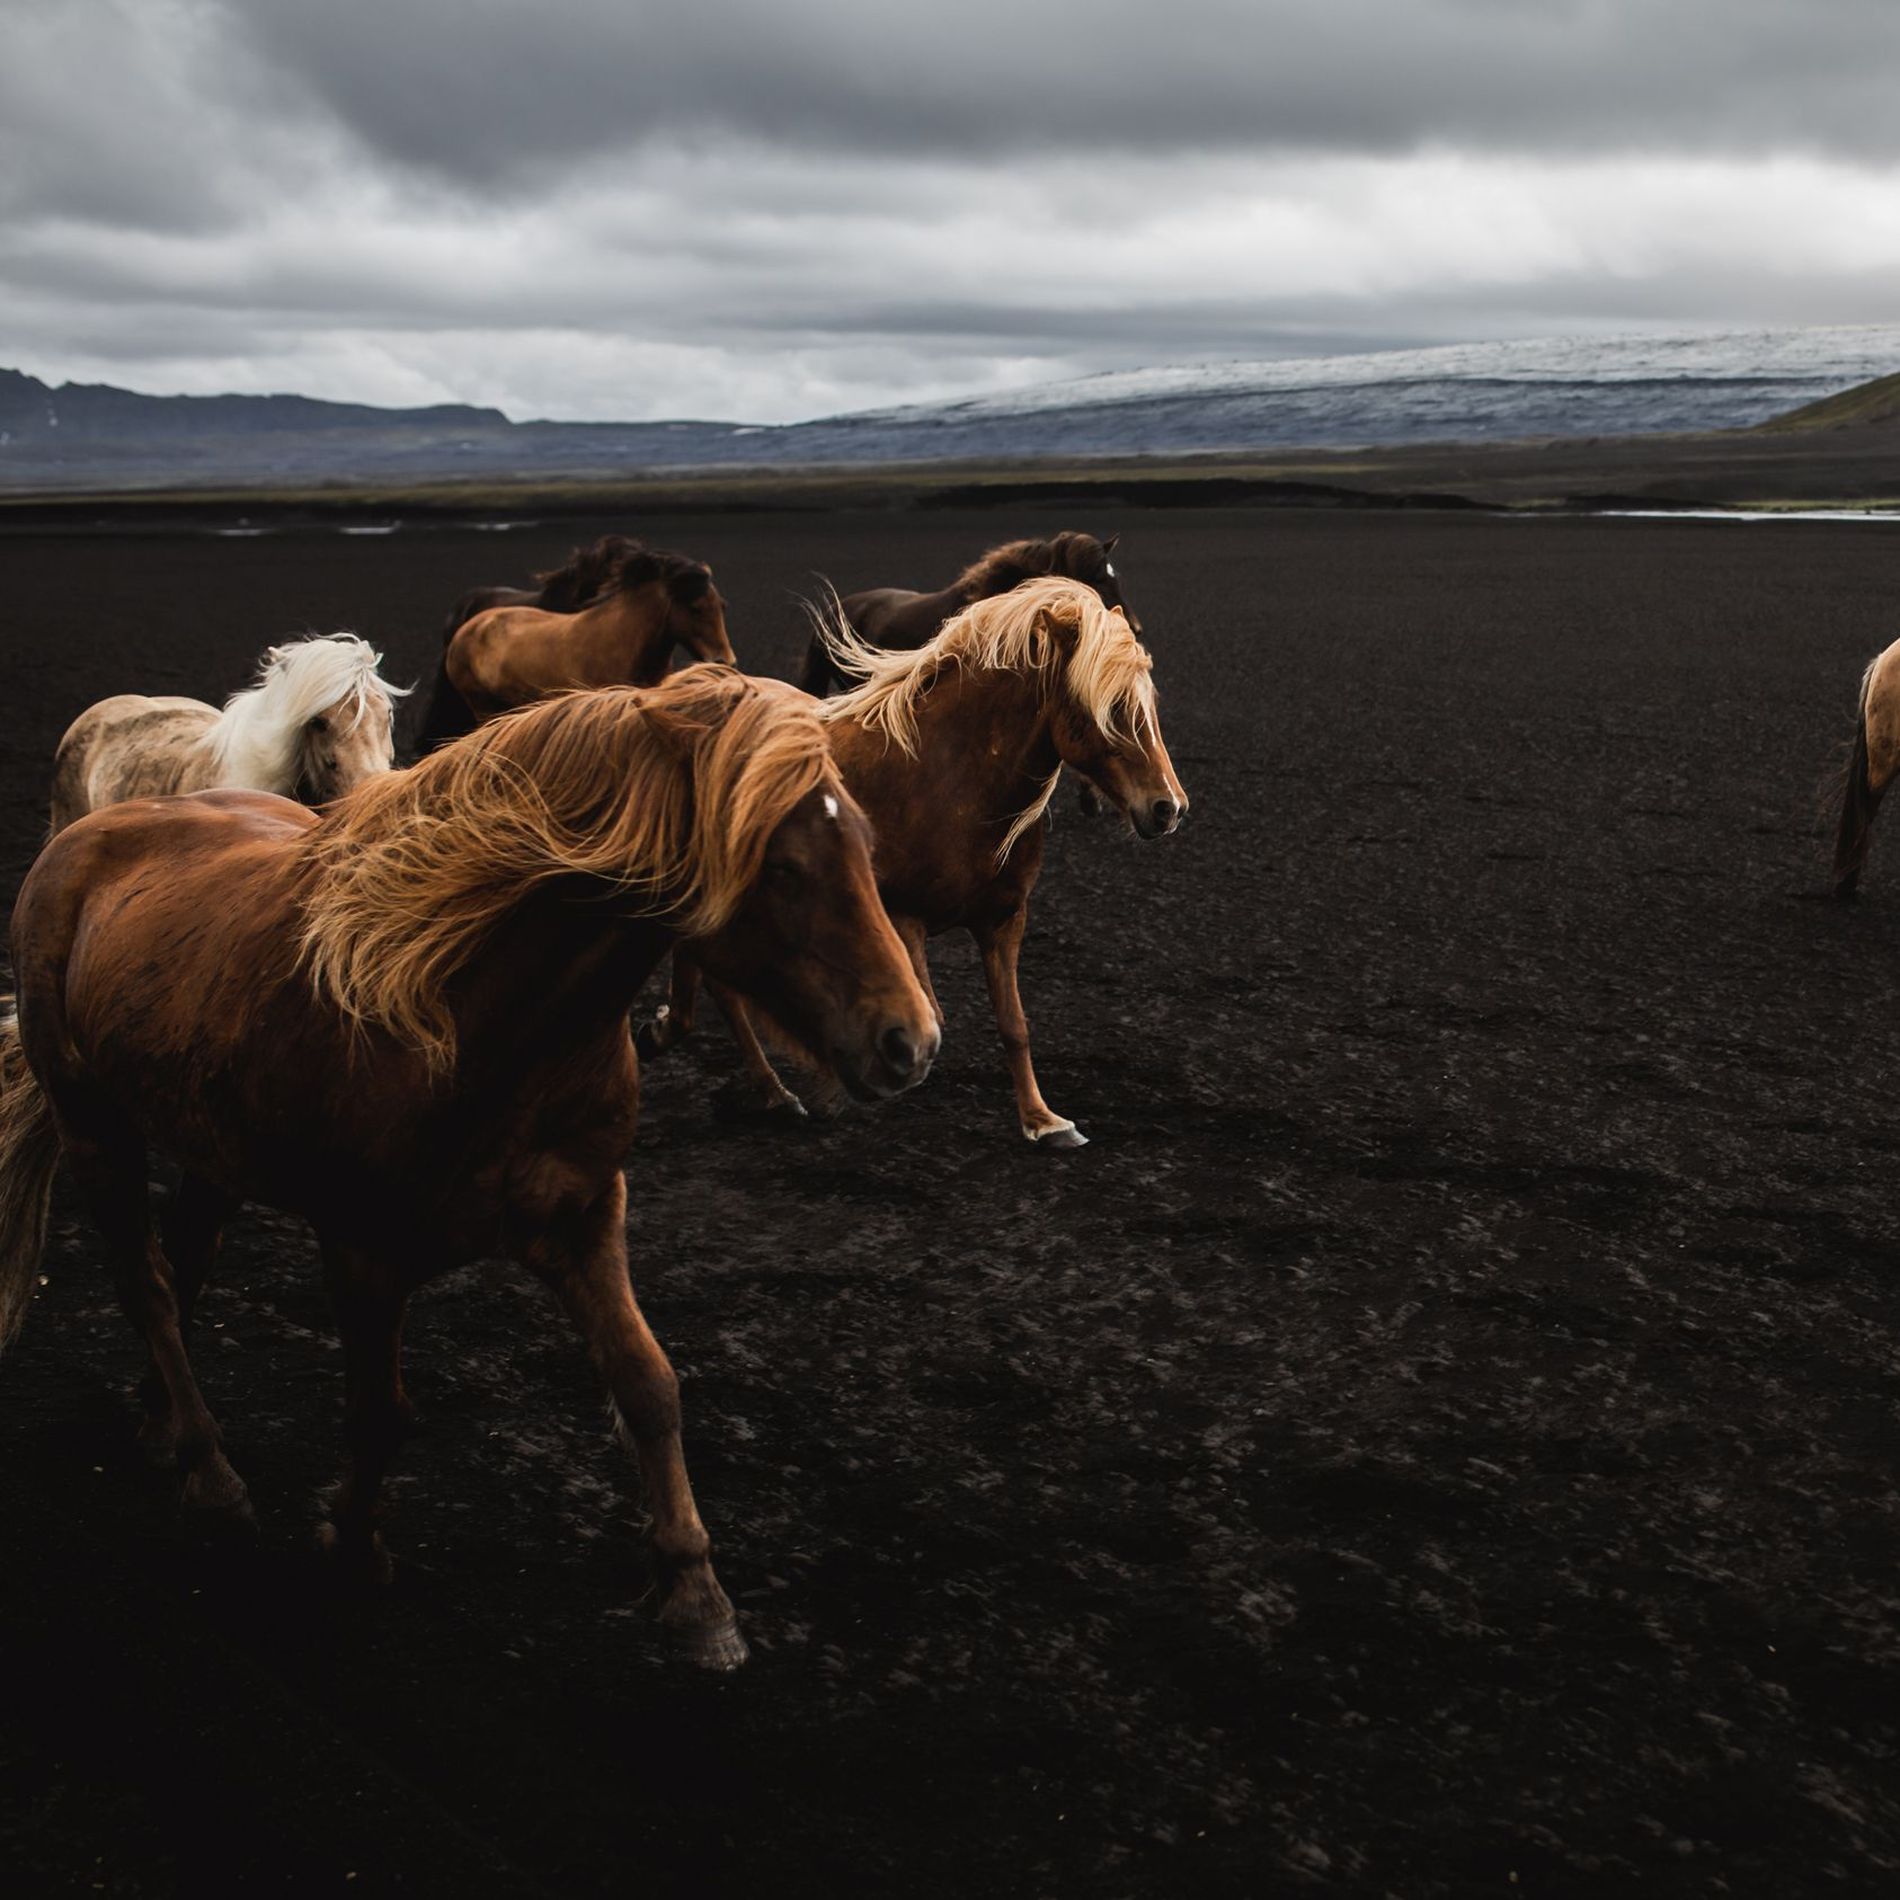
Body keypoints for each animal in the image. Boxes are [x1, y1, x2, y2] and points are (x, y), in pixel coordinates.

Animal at [0, 672, 934, 1679]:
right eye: (782, 866)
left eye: (865, 843)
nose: (912, 1042)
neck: (473, 1015)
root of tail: (89, 836)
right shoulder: (363, 1251)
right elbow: (381, 1412)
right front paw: (353, 1543)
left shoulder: (586, 1215)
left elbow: (648, 1385)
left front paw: (696, 1595)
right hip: (95, 1130)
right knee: (147, 1286)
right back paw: (209, 1469)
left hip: (214, 1149)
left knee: (185, 1266)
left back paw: (161, 1421)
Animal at [418, 539, 733, 752]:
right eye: (695, 608)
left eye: (721, 605)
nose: (724, 661)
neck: (622, 641)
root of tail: (464, 630)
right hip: (483, 707)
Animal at [653, 573, 1185, 1140]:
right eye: (1110, 708)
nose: (1168, 807)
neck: (948, 777)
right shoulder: (904, 917)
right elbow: (927, 1013)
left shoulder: (1003, 921)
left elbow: (1014, 1025)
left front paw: (1043, 1120)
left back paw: (758, 1083)